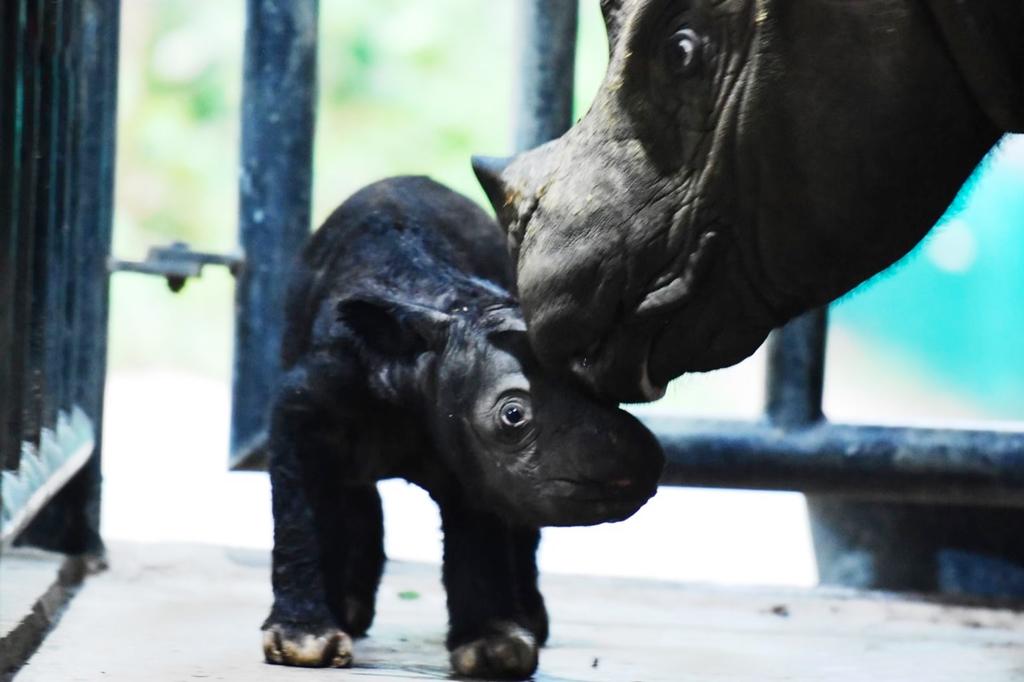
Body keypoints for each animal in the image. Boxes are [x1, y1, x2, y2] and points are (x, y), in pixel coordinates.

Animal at [262, 175, 663, 675]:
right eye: (513, 415)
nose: (643, 464)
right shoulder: (304, 404)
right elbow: (300, 505)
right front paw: (304, 642)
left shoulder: (473, 454)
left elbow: (482, 518)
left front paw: (494, 650)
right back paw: (349, 614)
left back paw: (529, 621)